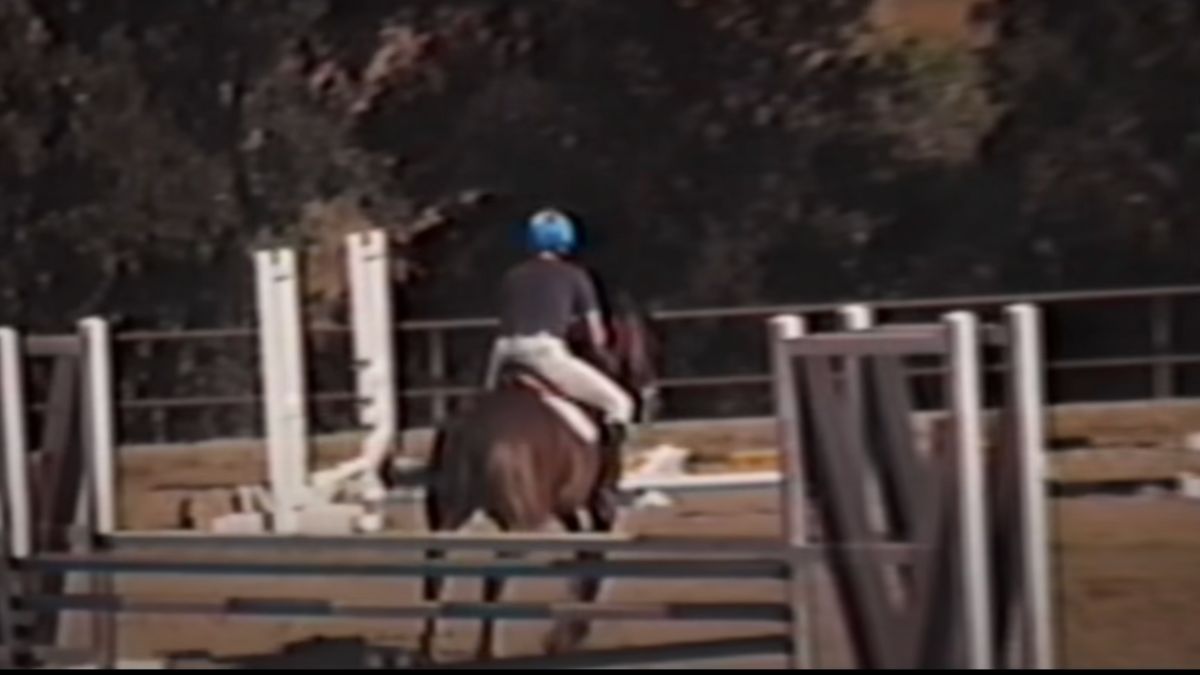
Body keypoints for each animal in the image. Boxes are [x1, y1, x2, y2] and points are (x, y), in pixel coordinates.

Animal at [412, 296, 657, 658]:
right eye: (645, 340)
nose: (653, 396)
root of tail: (472, 431)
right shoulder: (601, 504)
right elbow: (594, 559)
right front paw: (567, 636)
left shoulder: (565, 506)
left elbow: (581, 554)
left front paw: (566, 632)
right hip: (520, 524)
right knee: (493, 577)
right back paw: (486, 651)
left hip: (449, 512)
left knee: (435, 569)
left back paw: (427, 649)